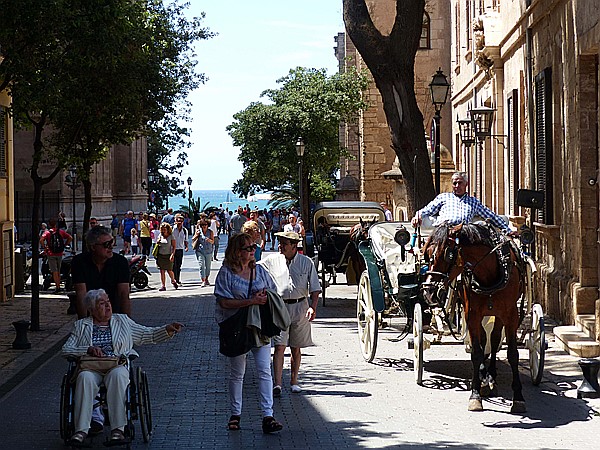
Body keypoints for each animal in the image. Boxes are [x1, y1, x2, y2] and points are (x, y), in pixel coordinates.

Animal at [422, 223, 524, 414]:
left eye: (448, 253)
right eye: (427, 253)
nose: (428, 290)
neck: (490, 274)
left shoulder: (511, 315)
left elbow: (513, 354)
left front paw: (519, 398)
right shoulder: (472, 315)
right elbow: (476, 353)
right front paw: (475, 395)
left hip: (498, 315)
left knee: (494, 340)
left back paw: (492, 377)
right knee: (484, 341)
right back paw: (485, 379)